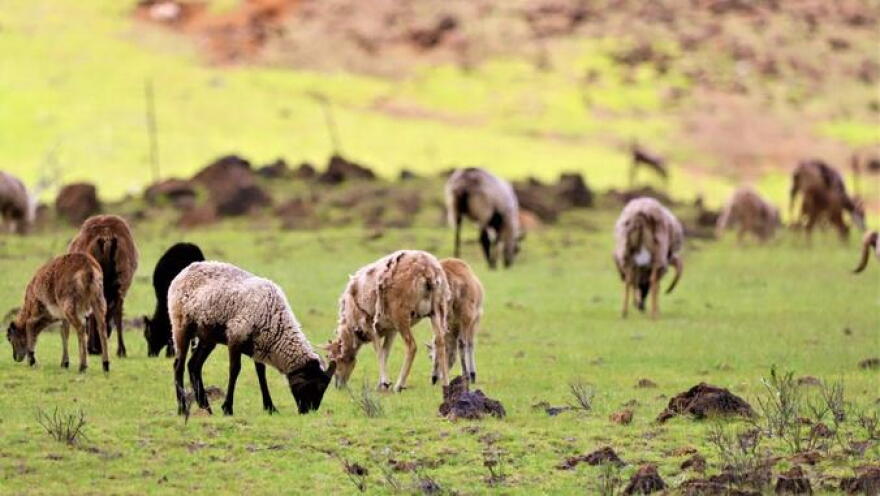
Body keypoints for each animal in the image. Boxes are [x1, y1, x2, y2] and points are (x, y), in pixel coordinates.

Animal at [68, 214, 139, 357]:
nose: (99, 348)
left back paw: (94, 347)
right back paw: (121, 350)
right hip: (123, 278)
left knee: (96, 310)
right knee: (118, 311)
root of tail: (107, 236)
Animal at [169, 261, 334, 415]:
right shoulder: (235, 336)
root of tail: (184, 271)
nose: (308, 411)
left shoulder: (259, 345)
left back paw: (206, 407)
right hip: (181, 325)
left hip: (207, 337)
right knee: (179, 366)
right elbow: (235, 370)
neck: (275, 321)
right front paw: (227, 408)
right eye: (313, 385)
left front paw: (270, 407)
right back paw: (182, 408)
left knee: (194, 365)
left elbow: (261, 372)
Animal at [326, 250, 451, 392]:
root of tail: (428, 270)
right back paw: (446, 383)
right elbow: (385, 352)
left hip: (401, 314)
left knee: (412, 346)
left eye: (334, 360)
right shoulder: (391, 329)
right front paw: (381, 384)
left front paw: (385, 383)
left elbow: (379, 352)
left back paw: (399, 385)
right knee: (440, 342)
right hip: (437, 309)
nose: (338, 386)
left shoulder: (369, 325)